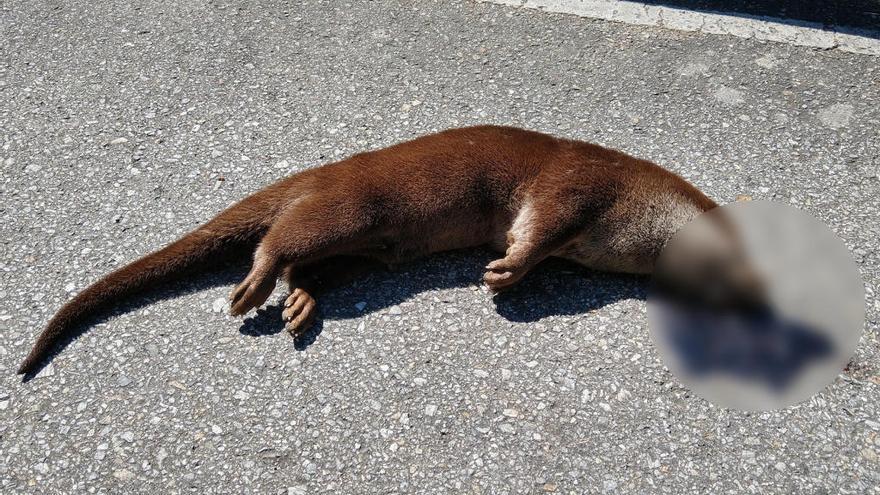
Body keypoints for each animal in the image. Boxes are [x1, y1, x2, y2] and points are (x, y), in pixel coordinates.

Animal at [17, 127, 720, 376]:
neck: (630, 206)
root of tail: (319, 174)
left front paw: (508, 275)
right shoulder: (578, 184)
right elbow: (540, 227)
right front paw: (505, 271)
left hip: (360, 241)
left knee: (304, 260)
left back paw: (300, 302)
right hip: (348, 209)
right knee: (278, 240)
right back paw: (252, 288)